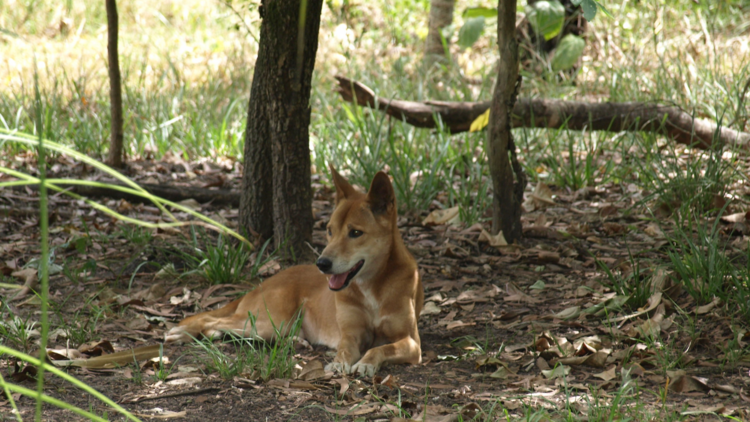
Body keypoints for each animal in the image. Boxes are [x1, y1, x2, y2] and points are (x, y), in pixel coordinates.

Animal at [165, 165, 424, 376]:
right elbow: (345, 349)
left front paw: (367, 362)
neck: (371, 286)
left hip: (269, 327)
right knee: (213, 319)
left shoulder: (411, 342)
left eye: (356, 233)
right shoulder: (350, 334)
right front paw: (340, 363)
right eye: (329, 230)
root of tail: (264, 283)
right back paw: (185, 333)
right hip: (270, 321)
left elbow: (382, 348)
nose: (322, 264)